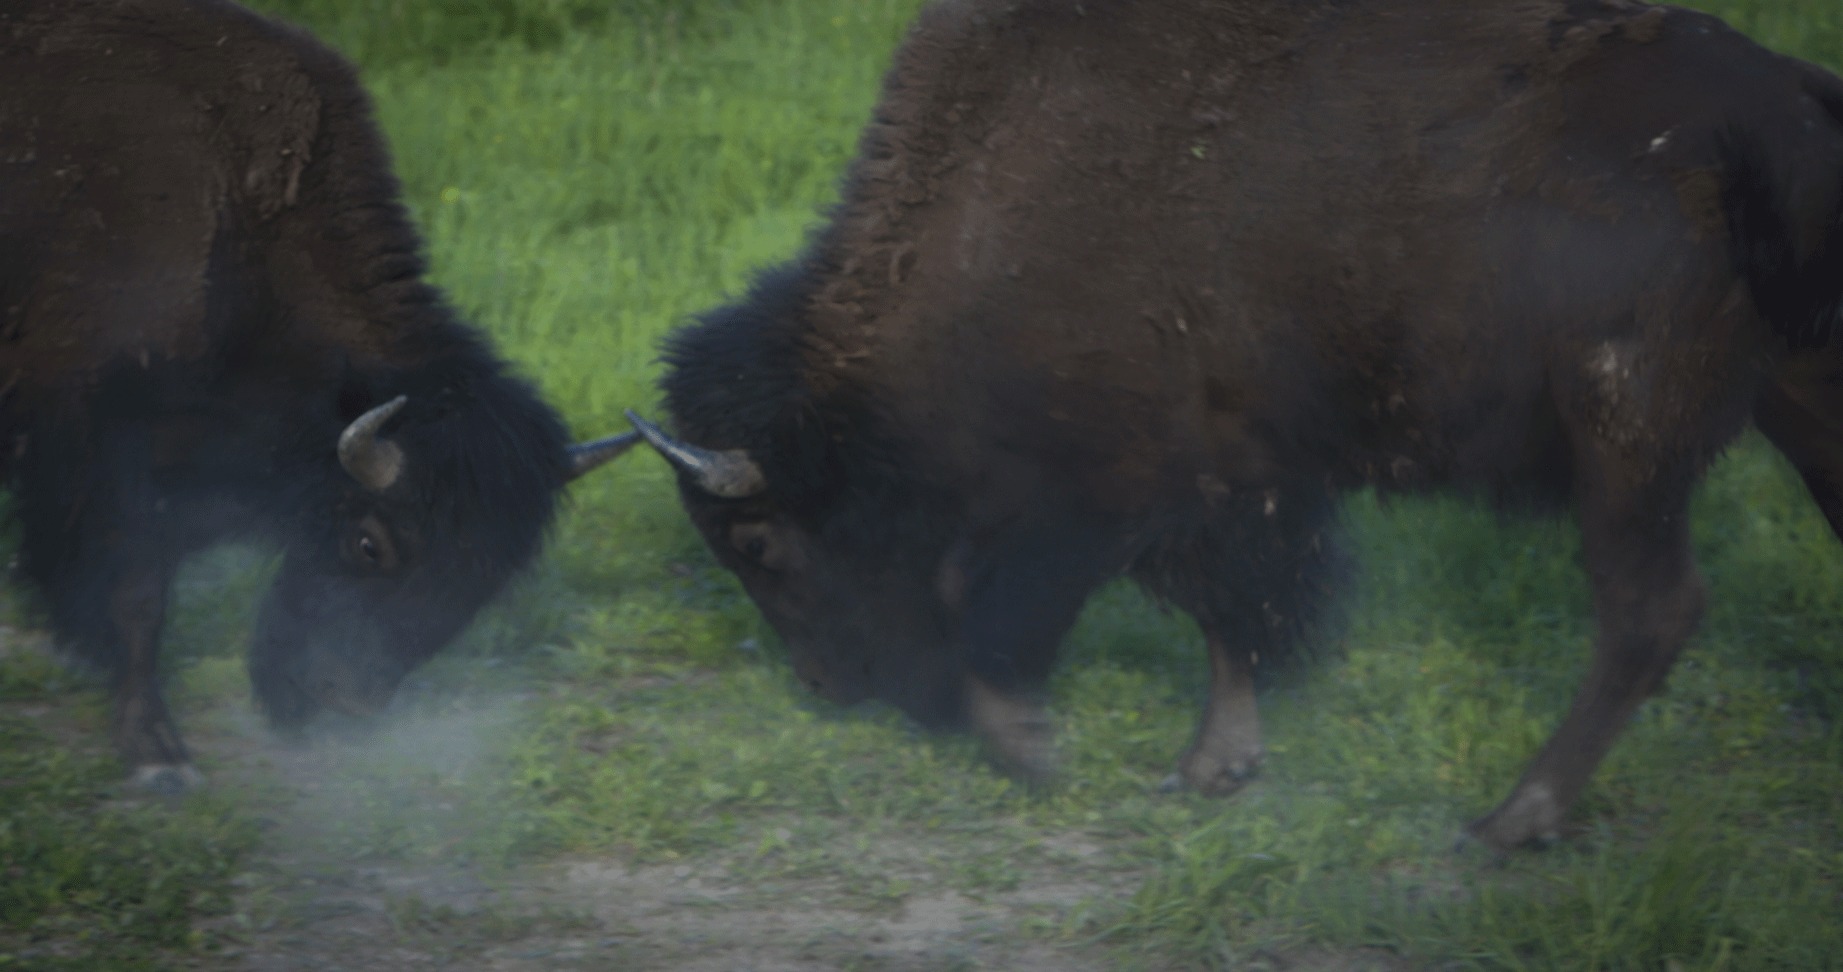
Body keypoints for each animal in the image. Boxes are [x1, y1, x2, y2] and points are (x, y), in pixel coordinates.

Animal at [0, 0, 637, 790]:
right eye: (368, 543)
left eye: (482, 581)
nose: (348, 701)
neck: (243, 212)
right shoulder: (106, 458)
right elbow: (138, 599)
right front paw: (158, 756)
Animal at [631, 0, 1843, 849]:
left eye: (759, 542)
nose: (823, 686)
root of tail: (1781, 101)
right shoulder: (1225, 479)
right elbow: (1229, 617)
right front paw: (1211, 767)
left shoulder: (1109, 488)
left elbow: (1017, 603)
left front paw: (1032, 750)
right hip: (1788, 401)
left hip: (1626, 437)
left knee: (1647, 611)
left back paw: (1511, 819)